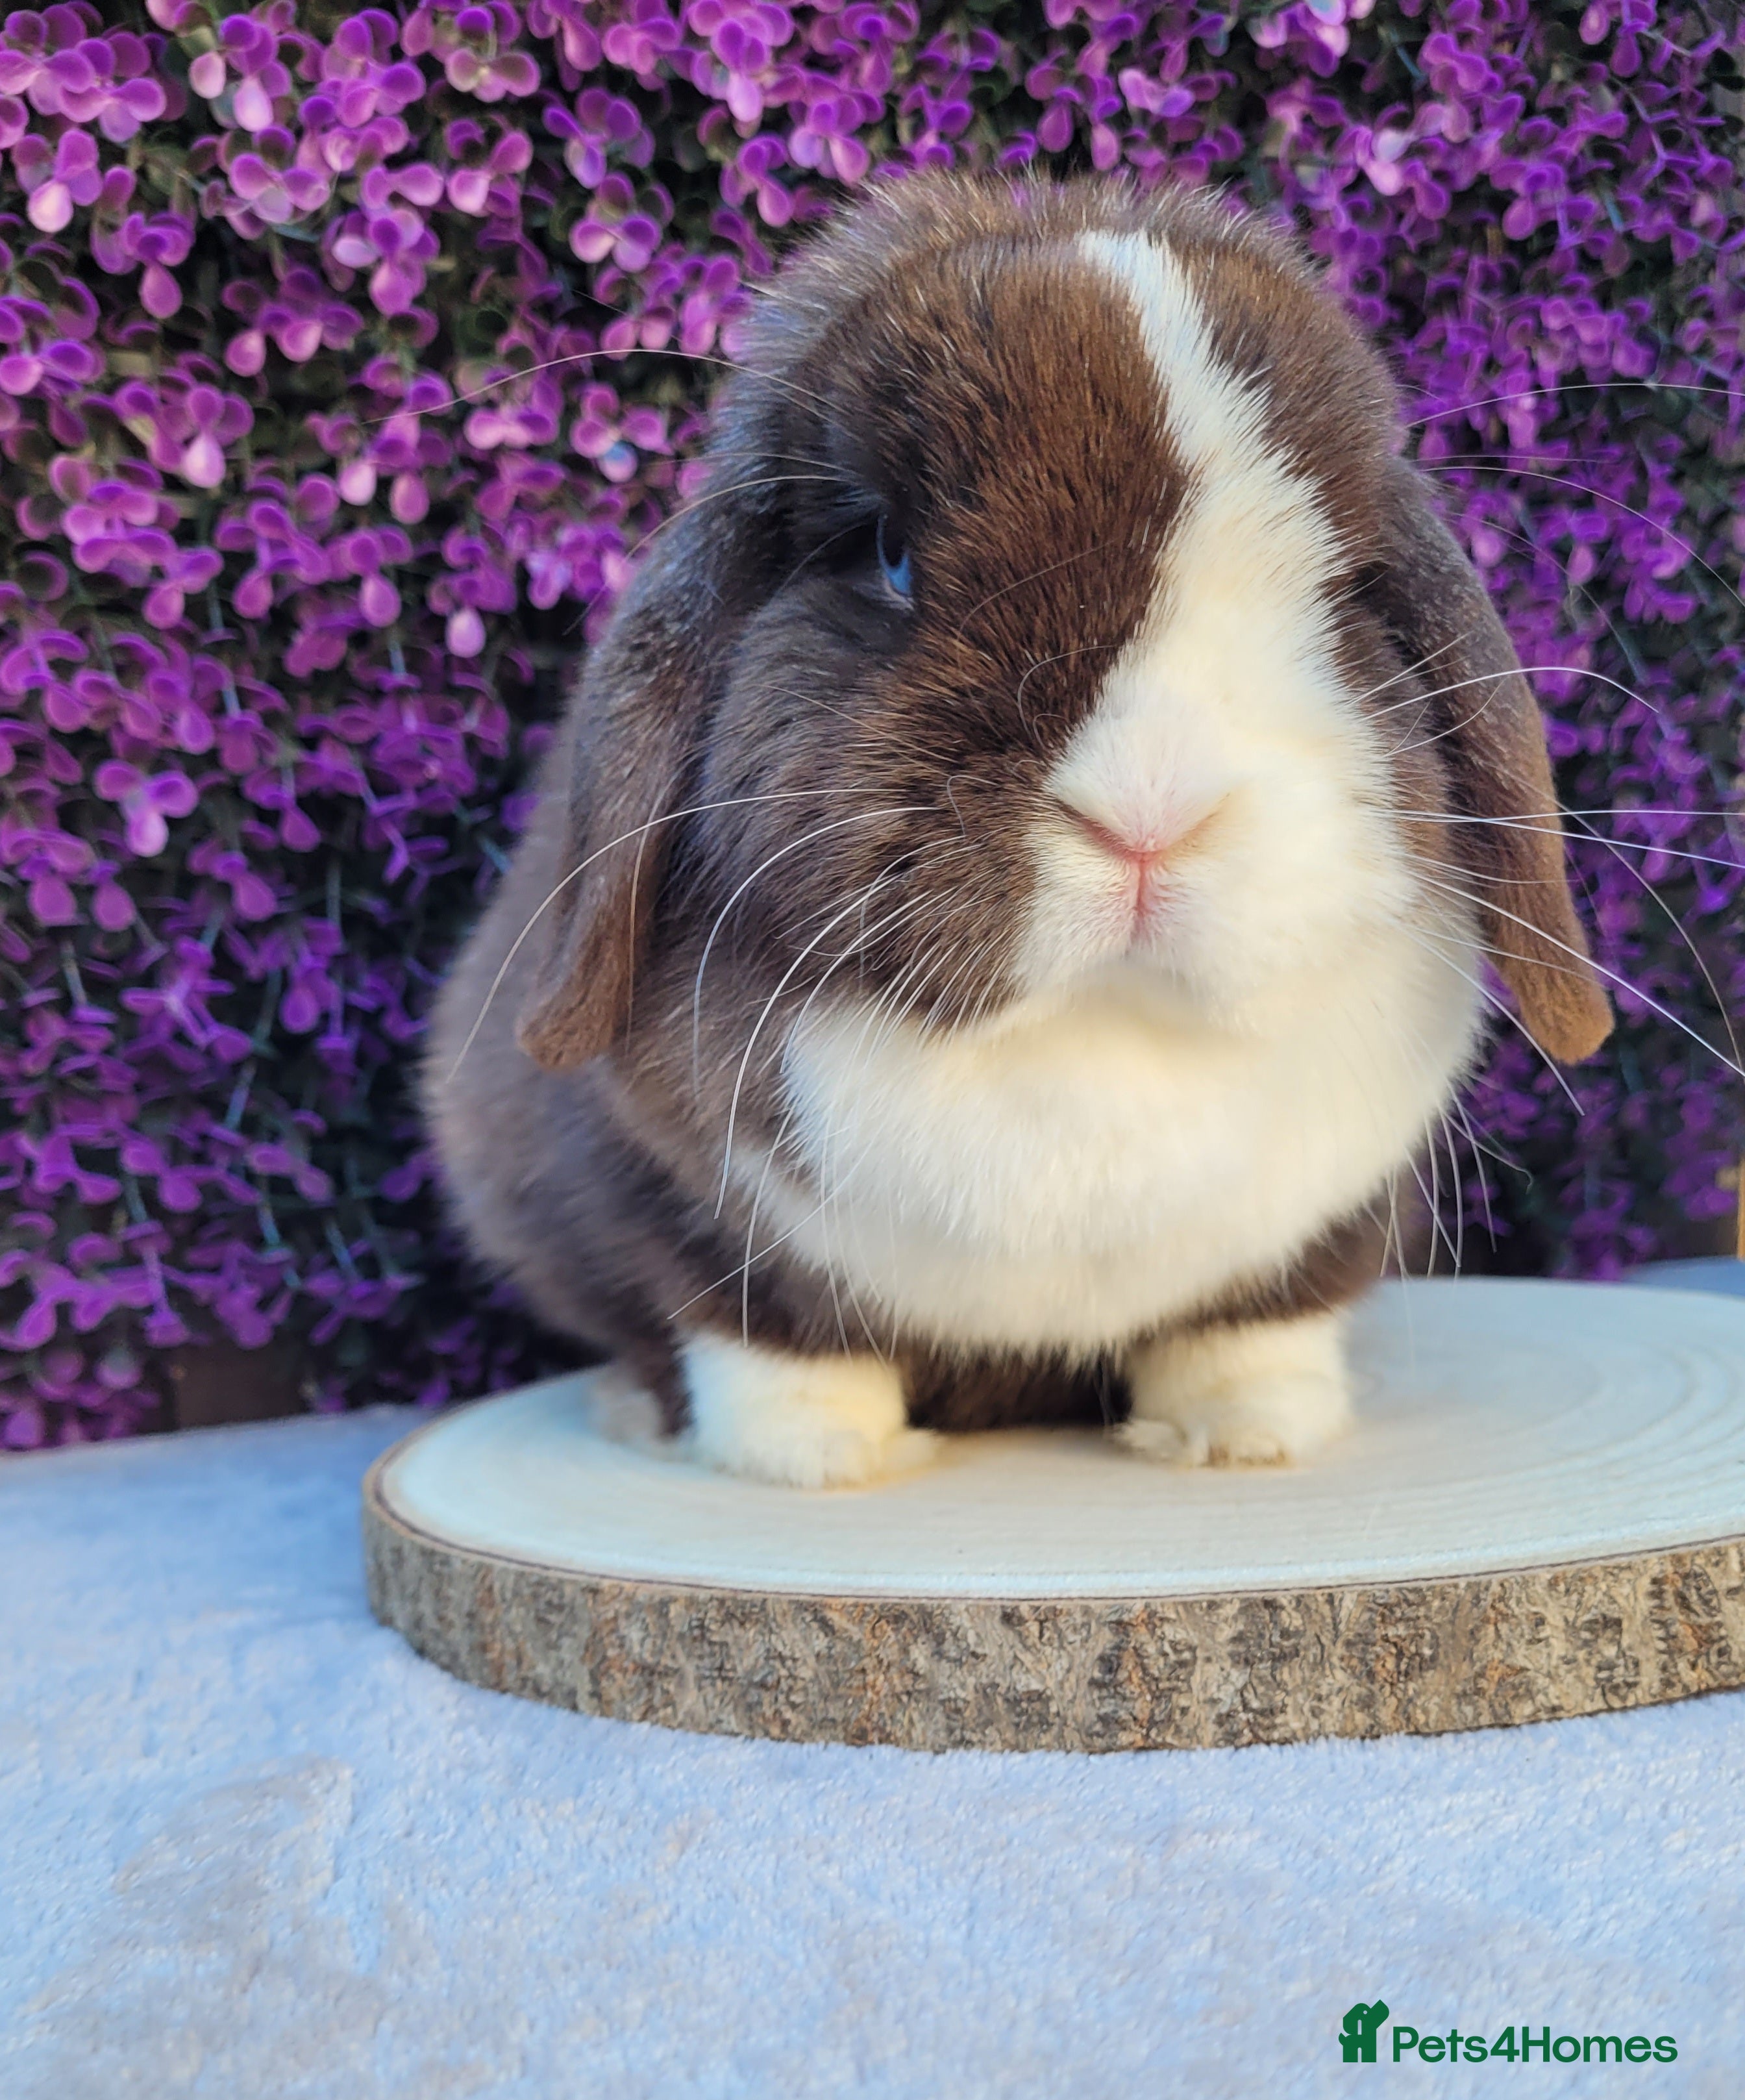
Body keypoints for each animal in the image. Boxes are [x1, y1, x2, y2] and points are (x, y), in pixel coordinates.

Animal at [424, 172, 1613, 1488]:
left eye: (1344, 591)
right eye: (887, 554)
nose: (1150, 808)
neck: (1089, 1043)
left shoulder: (1321, 1225)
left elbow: (1253, 1327)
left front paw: (1246, 1434)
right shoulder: (676, 1204)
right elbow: (759, 1334)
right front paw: (821, 1458)